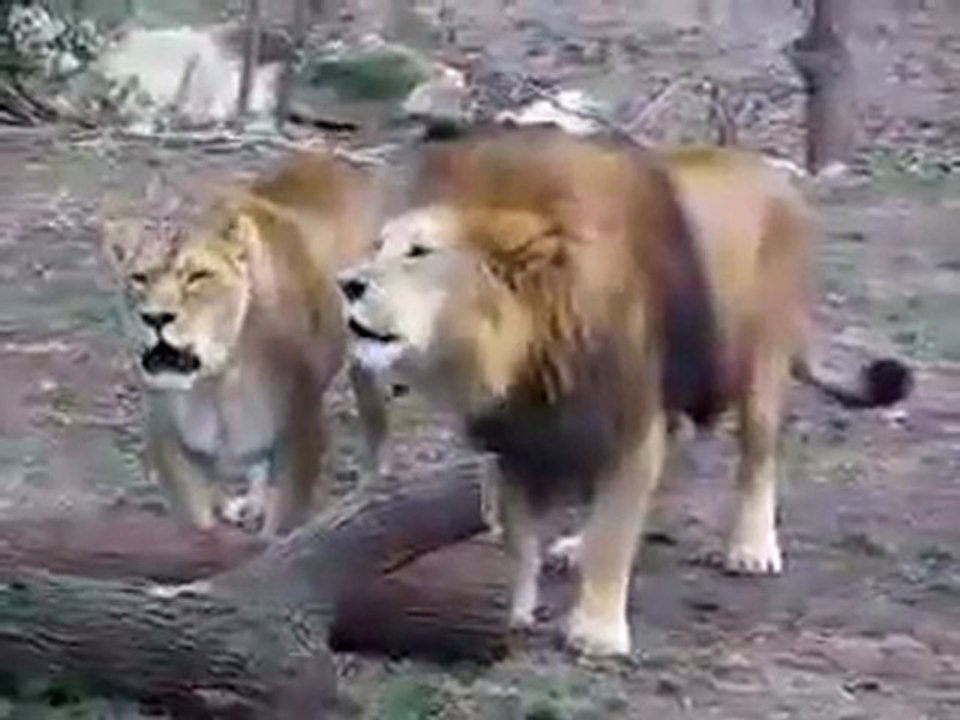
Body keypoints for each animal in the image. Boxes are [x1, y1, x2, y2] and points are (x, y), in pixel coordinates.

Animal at [101, 149, 391, 538]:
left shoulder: (301, 433)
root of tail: (327, 156)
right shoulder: (169, 441)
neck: (215, 381)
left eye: (198, 277)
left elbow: (282, 527)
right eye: (140, 278)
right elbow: (197, 521)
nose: (156, 318)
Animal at [335, 123, 914, 657]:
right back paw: (575, 545)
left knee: (757, 457)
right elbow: (521, 535)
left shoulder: (629, 420)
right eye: (378, 245)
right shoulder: (516, 435)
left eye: (419, 252)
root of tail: (778, 178)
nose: (346, 283)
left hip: (762, 361)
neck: (524, 348)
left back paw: (751, 549)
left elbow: (615, 534)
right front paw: (516, 611)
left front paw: (596, 635)